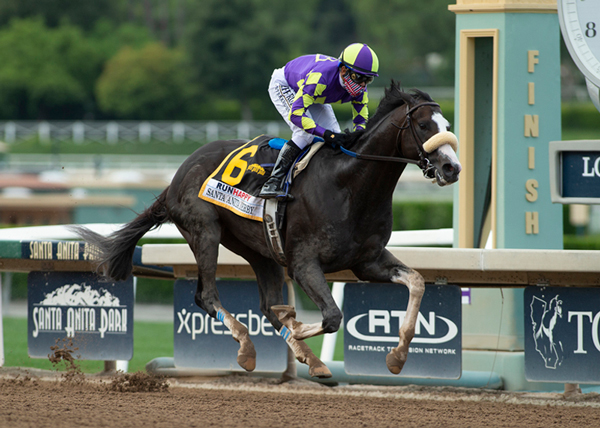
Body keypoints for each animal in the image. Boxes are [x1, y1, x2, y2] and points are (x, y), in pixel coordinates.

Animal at [75, 82, 460, 380]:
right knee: (207, 296)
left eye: (447, 122)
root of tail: (175, 177)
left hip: (260, 251)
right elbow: (331, 317)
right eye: (423, 124)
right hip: (205, 231)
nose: (452, 168)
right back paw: (249, 347)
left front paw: (397, 357)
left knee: (265, 305)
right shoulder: (304, 263)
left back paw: (311, 359)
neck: (350, 185)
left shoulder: (368, 262)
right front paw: (300, 332)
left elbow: (417, 282)